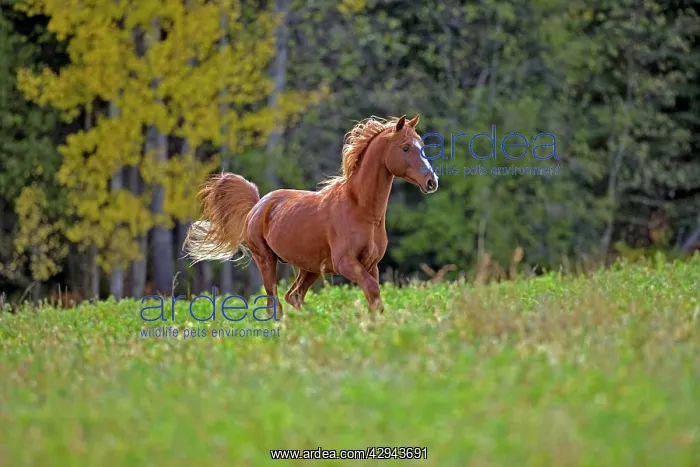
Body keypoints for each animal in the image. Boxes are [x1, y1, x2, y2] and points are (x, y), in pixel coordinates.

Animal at [183, 114, 438, 316]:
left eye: (421, 145)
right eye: (405, 147)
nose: (431, 181)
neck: (361, 209)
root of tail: (256, 207)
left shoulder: (371, 264)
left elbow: (374, 297)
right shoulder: (346, 263)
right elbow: (373, 291)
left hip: (311, 268)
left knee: (293, 296)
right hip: (266, 260)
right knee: (274, 302)